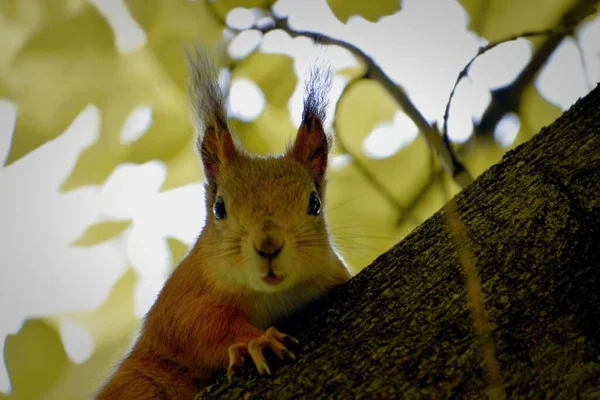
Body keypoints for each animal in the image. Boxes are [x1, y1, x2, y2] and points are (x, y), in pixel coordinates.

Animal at [96, 48, 352, 398]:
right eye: (219, 208)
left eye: (314, 203)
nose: (268, 246)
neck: (271, 295)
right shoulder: (182, 296)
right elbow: (200, 326)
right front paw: (257, 341)